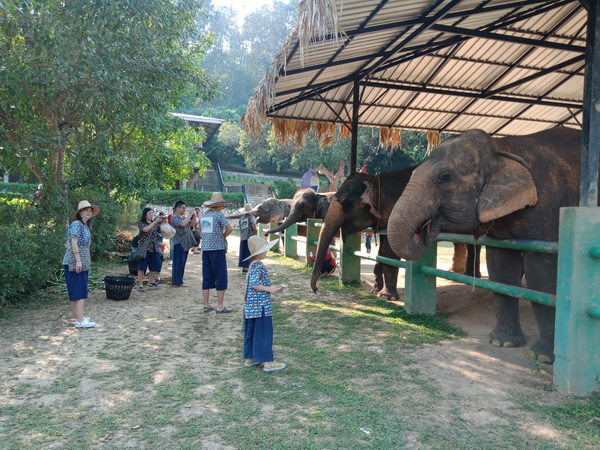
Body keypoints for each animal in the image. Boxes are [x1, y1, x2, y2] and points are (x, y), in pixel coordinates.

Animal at [386, 125, 584, 364]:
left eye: (445, 177)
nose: (424, 227)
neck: (501, 147)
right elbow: (500, 267)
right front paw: (503, 343)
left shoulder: (549, 204)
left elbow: (540, 273)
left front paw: (544, 356)